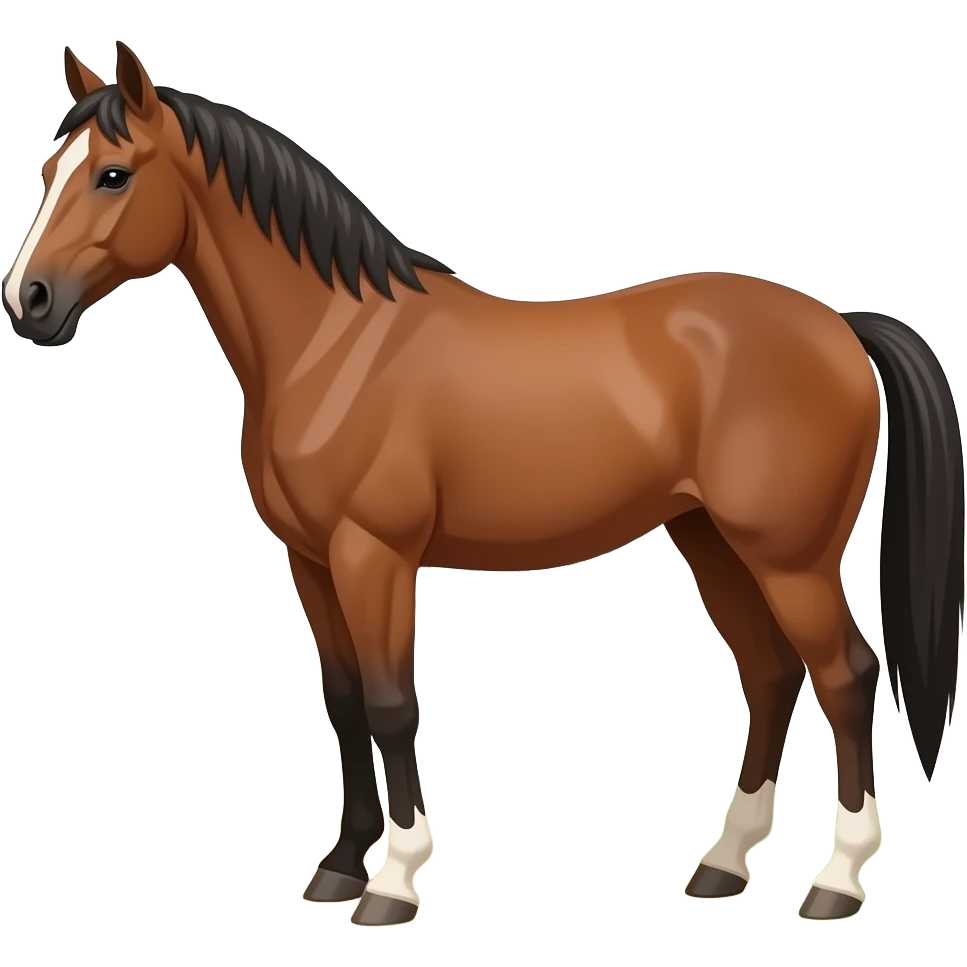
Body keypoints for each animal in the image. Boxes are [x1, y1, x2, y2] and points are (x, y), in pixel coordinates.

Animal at [2, 41, 963, 927]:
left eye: (115, 175)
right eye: (52, 170)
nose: (29, 301)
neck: (334, 343)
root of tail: (836, 325)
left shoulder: (374, 556)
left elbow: (391, 703)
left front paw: (394, 878)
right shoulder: (310, 561)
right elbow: (343, 702)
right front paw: (340, 865)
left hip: (788, 557)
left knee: (844, 674)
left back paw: (835, 879)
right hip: (711, 541)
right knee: (768, 674)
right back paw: (723, 865)